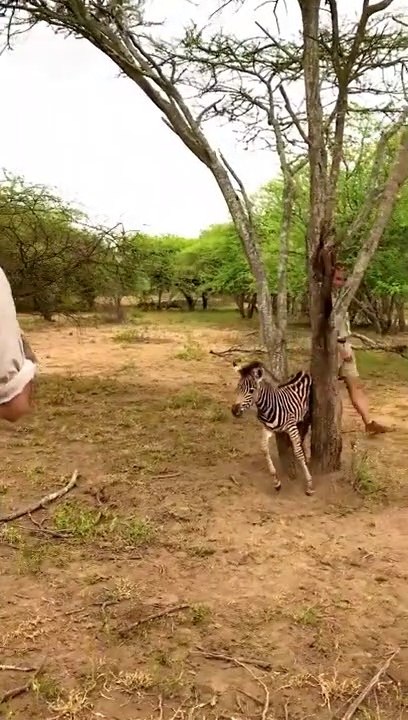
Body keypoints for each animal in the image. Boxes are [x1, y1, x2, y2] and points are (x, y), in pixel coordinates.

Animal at [231, 360, 314, 495]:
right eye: (238, 388)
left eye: (252, 390)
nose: (234, 411)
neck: (268, 406)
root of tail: (304, 371)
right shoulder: (268, 428)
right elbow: (264, 448)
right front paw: (276, 482)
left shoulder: (291, 427)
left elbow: (298, 451)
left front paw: (309, 484)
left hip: (307, 416)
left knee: (307, 434)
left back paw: (307, 455)